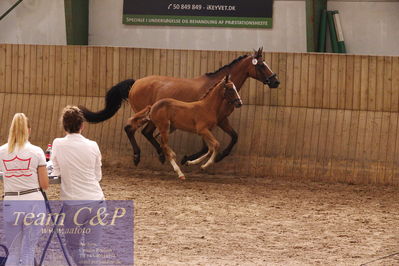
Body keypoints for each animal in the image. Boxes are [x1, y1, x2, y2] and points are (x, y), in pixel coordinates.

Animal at [79, 46, 280, 165]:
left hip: (153, 118)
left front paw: (220, 156)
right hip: (145, 114)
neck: (218, 90)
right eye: (261, 65)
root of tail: (136, 83)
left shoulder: (221, 120)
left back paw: (161, 154)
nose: (275, 82)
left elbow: (234, 137)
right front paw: (187, 159)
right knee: (132, 129)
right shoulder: (204, 123)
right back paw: (138, 156)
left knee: (146, 133)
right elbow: (206, 146)